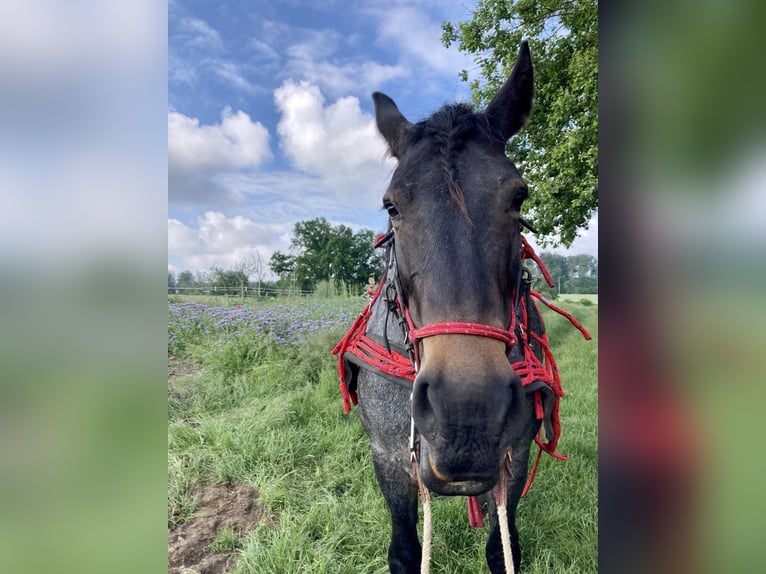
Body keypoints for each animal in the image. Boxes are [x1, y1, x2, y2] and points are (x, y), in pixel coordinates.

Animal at [336, 41, 576, 574]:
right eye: (392, 206)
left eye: (518, 197)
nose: (467, 414)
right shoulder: (388, 457)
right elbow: (404, 551)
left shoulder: (514, 454)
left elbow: (502, 549)